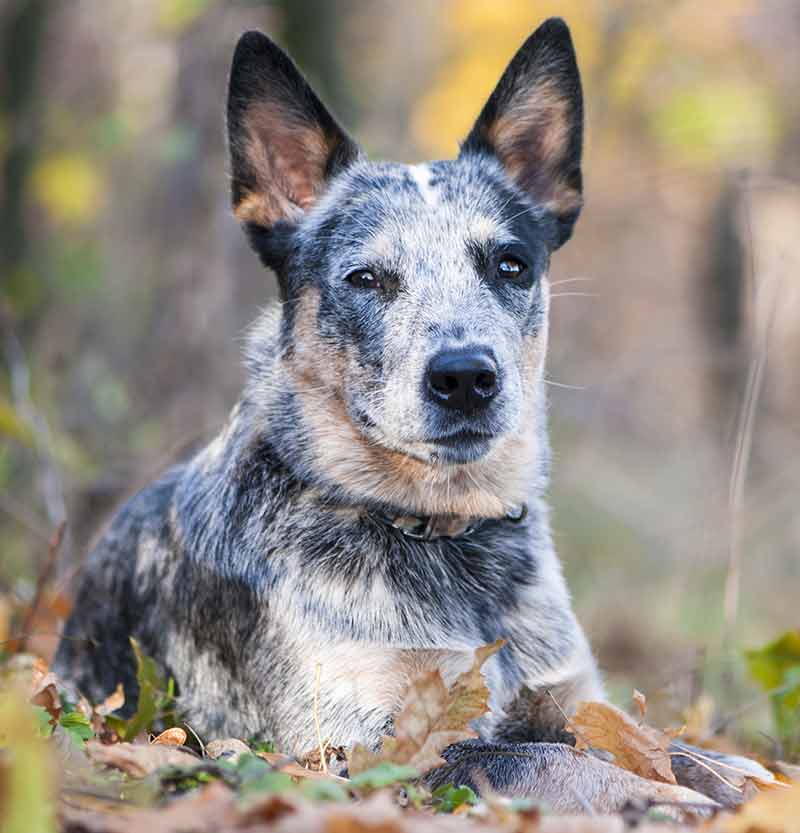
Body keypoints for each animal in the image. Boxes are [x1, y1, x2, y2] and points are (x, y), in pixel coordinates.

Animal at [53, 19, 764, 812]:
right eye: (366, 277)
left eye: (511, 264)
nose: (465, 376)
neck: (442, 534)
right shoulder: (363, 750)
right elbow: (552, 761)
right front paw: (668, 802)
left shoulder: (572, 697)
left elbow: (680, 750)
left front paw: (735, 779)